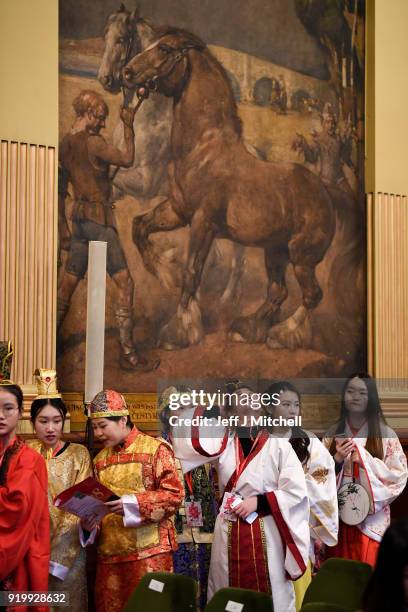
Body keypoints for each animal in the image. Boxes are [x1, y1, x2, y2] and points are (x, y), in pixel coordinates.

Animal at [123, 28, 334, 352]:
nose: (127, 72)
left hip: (302, 256)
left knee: (311, 295)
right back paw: (247, 328)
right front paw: (164, 272)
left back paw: (282, 335)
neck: (203, 149)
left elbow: (192, 273)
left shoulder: (202, 222)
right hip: (275, 252)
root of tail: (324, 194)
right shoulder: (177, 211)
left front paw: (178, 330)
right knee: (278, 291)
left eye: (165, 48)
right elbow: (139, 227)